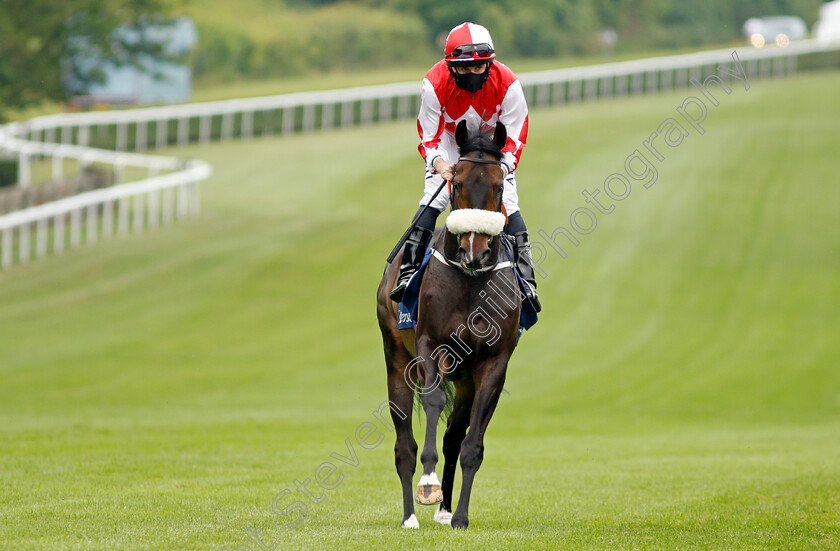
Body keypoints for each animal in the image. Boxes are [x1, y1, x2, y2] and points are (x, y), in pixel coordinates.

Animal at [378, 122, 520, 532]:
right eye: (455, 183)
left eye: (499, 186)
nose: (475, 251)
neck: (471, 282)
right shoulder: (431, 345)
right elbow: (433, 401)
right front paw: (428, 484)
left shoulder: (494, 363)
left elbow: (471, 443)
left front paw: (459, 515)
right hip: (397, 358)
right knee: (404, 444)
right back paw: (410, 514)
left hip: (465, 378)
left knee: (453, 437)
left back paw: (444, 509)